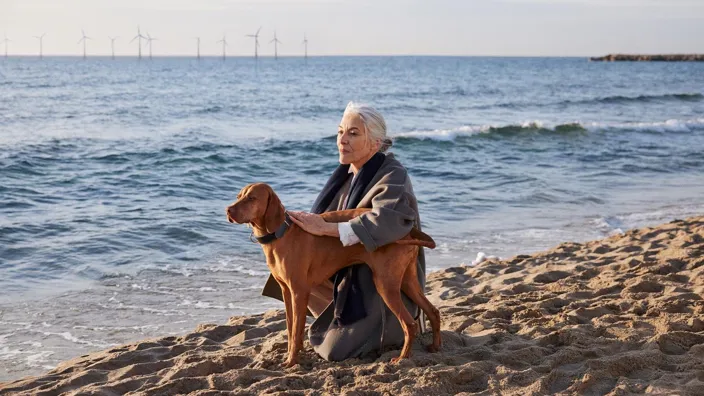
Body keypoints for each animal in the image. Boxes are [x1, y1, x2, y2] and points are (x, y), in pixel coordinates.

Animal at [227, 184, 440, 366]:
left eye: (252, 198)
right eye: (238, 196)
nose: (228, 210)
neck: (281, 233)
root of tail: (407, 230)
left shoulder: (299, 292)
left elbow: (296, 332)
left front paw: (292, 362)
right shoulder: (287, 292)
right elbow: (290, 328)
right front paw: (290, 356)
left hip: (385, 285)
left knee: (409, 324)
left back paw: (402, 357)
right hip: (407, 281)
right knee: (433, 311)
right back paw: (435, 346)